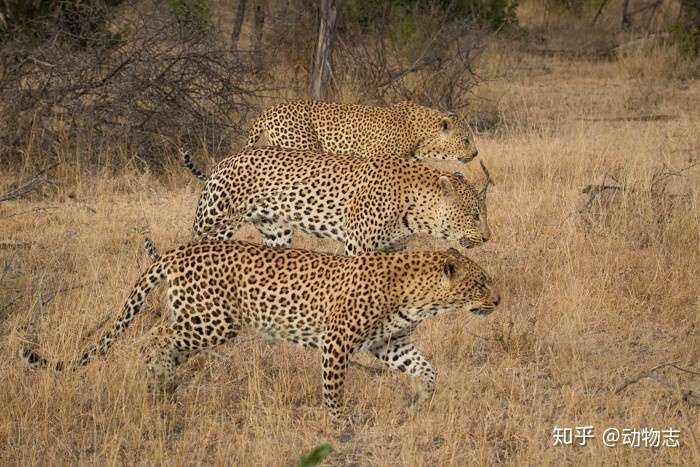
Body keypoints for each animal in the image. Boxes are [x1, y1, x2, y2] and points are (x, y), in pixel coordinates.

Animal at [19, 239, 500, 426]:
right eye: (480, 284)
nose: (497, 302)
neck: (421, 296)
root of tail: (179, 249)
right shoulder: (337, 340)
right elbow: (334, 387)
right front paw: (340, 423)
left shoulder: (390, 343)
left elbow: (428, 370)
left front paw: (420, 400)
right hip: (213, 321)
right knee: (149, 338)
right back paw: (156, 382)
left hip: (196, 318)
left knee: (164, 341)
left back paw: (165, 391)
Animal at [186, 148, 492, 256]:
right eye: (474, 215)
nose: (488, 238)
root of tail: (224, 161)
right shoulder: (358, 245)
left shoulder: (392, 248)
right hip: (214, 224)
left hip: (277, 233)